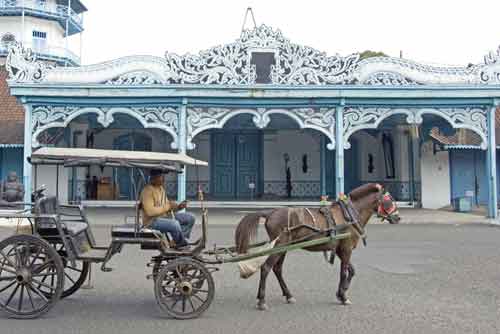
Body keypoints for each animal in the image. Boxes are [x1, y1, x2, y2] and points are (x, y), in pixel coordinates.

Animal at [235, 183, 402, 310]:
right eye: (389, 200)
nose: (398, 217)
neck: (349, 215)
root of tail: (270, 213)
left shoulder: (340, 249)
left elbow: (351, 271)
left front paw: (341, 292)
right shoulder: (346, 249)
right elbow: (343, 272)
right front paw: (344, 296)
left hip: (282, 247)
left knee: (277, 269)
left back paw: (288, 295)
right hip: (281, 244)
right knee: (266, 268)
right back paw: (262, 300)